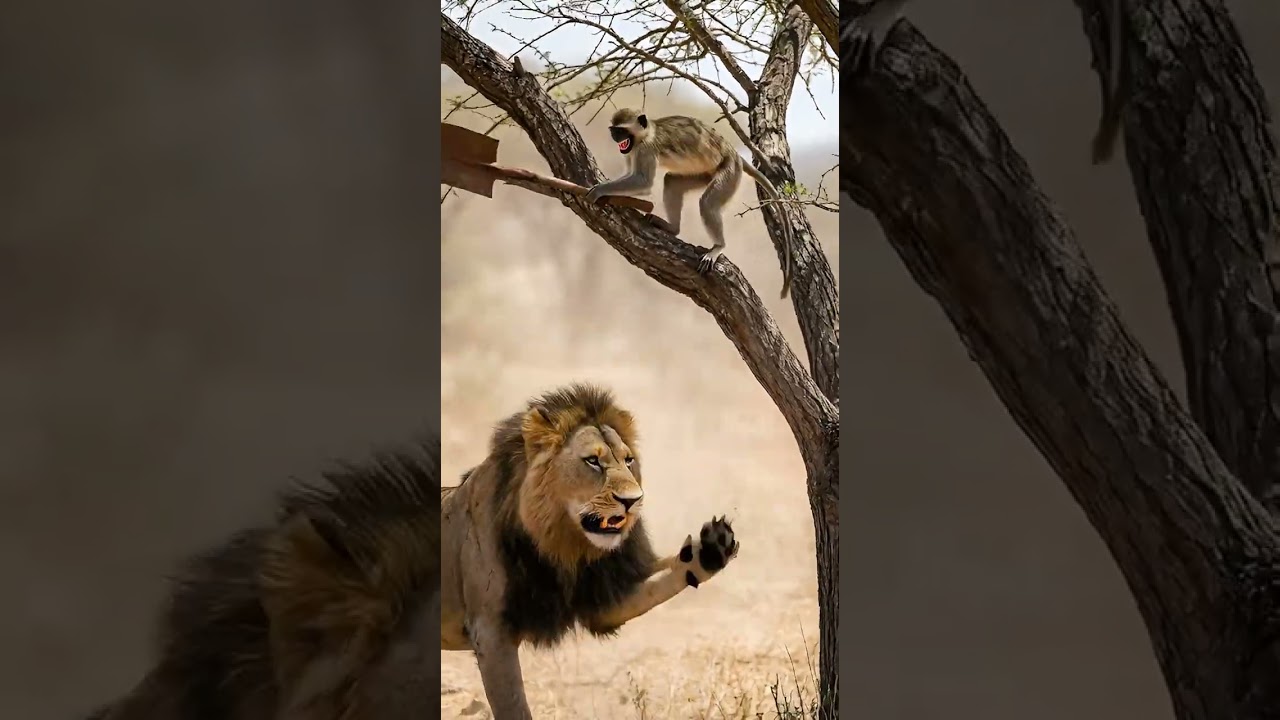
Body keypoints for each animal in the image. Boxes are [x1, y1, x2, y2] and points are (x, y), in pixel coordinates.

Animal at [441, 383, 741, 719]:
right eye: (593, 461)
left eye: (628, 460)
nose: (634, 500)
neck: (566, 550)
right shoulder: (490, 631)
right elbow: (514, 706)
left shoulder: (605, 597)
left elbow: (668, 575)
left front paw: (713, 547)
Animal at [584, 108, 795, 300]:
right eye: (614, 130)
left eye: (620, 130)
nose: (614, 137)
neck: (647, 132)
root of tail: (733, 153)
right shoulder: (631, 152)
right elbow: (633, 175)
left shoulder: (646, 149)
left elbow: (643, 183)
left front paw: (599, 189)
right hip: (705, 174)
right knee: (671, 181)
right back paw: (673, 228)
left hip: (730, 171)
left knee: (707, 203)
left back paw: (718, 247)